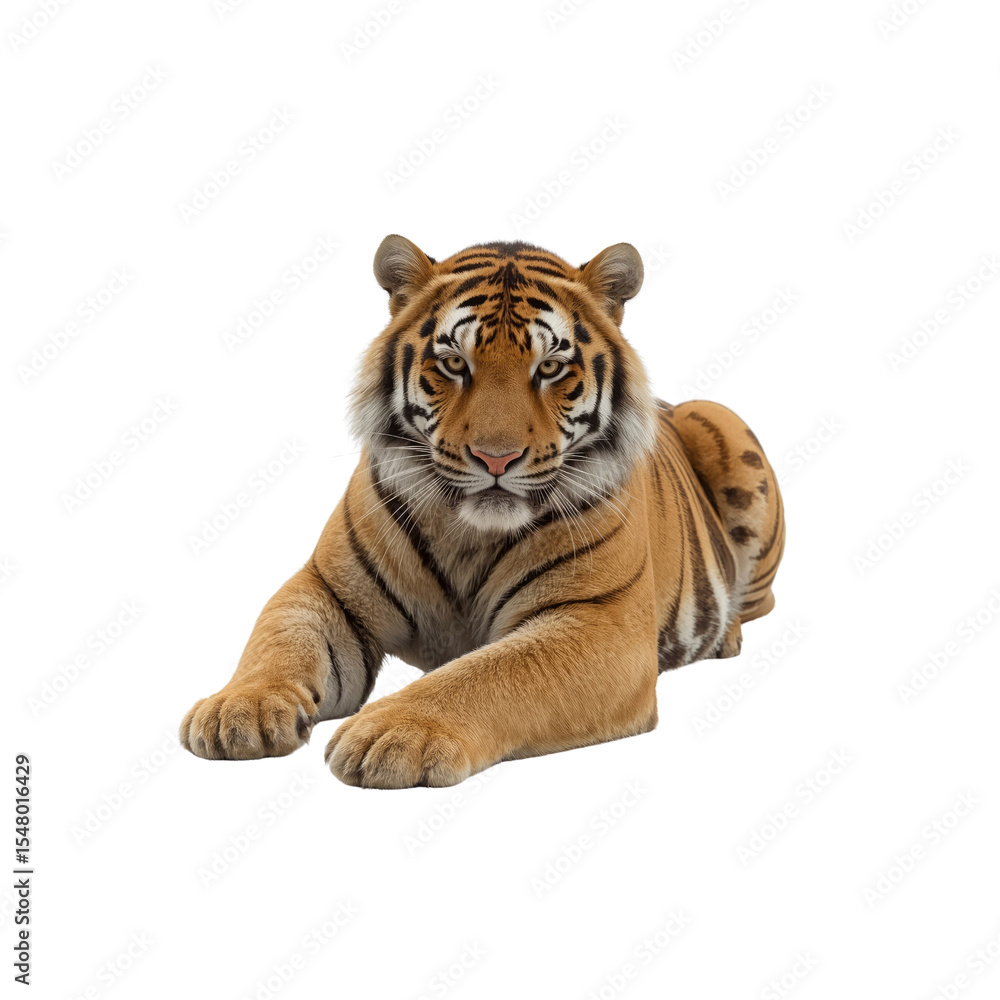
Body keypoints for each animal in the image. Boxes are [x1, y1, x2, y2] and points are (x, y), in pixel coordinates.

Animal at [180, 235, 785, 788]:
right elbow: (280, 635)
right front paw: (239, 708)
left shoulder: (599, 621)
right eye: (453, 363)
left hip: (721, 420)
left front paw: (393, 732)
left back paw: (727, 635)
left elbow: (493, 673)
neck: (468, 532)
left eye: (551, 367)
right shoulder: (326, 587)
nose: (496, 458)